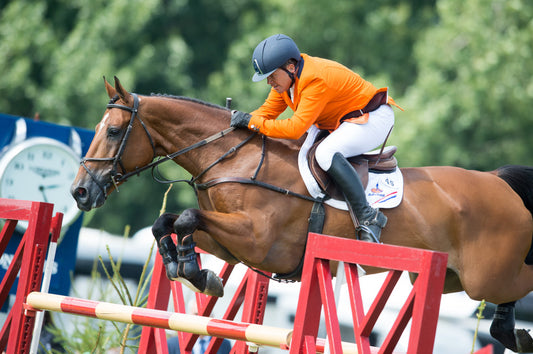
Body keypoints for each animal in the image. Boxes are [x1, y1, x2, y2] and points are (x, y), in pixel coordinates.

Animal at [70, 76, 532, 352]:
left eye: (114, 131)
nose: (80, 192)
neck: (231, 158)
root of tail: (498, 182)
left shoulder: (257, 241)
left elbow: (183, 218)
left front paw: (193, 270)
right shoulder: (231, 244)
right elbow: (166, 223)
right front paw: (186, 268)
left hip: (485, 275)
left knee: (518, 282)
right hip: (449, 277)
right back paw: (509, 332)